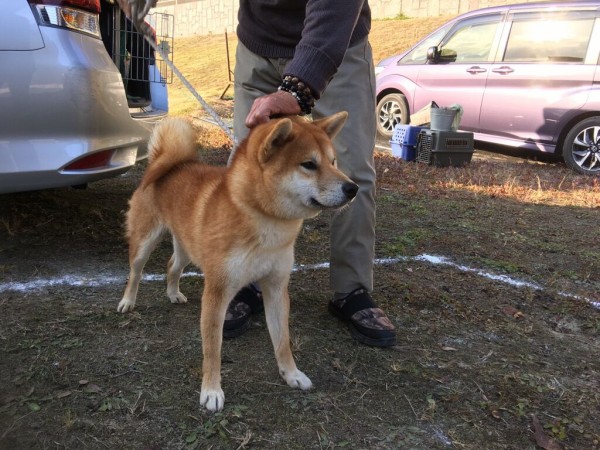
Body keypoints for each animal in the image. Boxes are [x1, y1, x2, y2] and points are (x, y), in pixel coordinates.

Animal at [118, 112, 356, 412]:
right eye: (309, 164)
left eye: (333, 161)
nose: (353, 188)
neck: (265, 221)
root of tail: (165, 162)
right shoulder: (217, 291)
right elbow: (212, 349)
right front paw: (211, 391)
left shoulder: (276, 288)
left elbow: (282, 341)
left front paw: (291, 374)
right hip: (144, 242)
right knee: (136, 272)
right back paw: (127, 301)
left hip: (187, 247)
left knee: (172, 266)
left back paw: (173, 293)